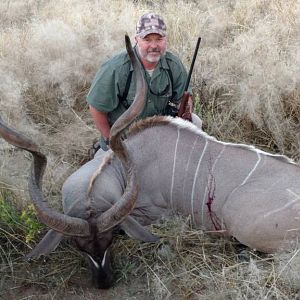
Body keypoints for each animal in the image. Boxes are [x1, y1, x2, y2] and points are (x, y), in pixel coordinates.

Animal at [0, 37, 300, 288]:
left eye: (110, 239)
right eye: (79, 246)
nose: (104, 282)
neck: (127, 165)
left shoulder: (153, 213)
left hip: (243, 225)